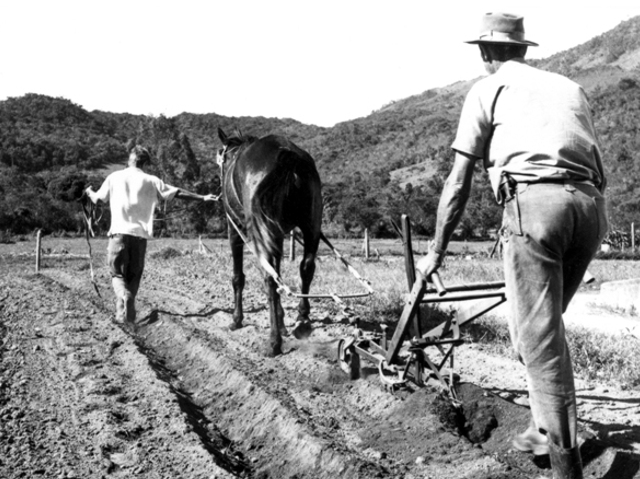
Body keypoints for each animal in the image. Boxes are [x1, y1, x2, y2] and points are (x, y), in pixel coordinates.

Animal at [217, 127, 323, 356]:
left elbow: (238, 277)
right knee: (306, 268)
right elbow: (280, 273)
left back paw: (274, 342)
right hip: (311, 226)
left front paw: (236, 320)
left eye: (222, 156)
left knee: (268, 278)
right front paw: (282, 323)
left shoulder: (234, 229)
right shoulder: (278, 234)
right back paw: (302, 320)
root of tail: (288, 153)